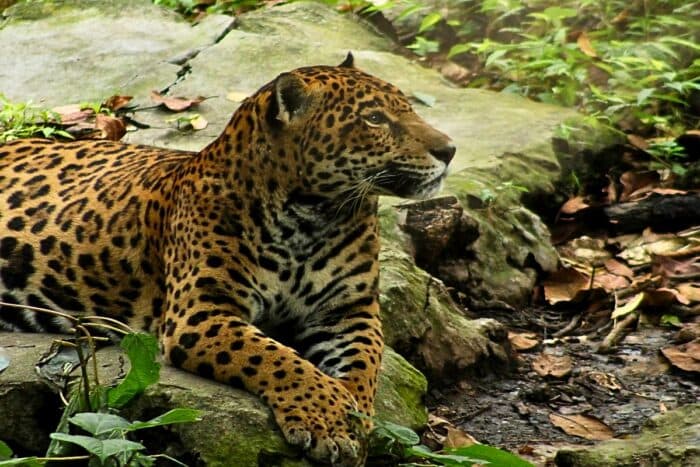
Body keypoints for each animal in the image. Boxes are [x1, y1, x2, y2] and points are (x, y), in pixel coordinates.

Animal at [0, 53, 454, 466]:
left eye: (408, 108)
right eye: (375, 118)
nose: (449, 149)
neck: (313, 216)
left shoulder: (349, 310)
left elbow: (364, 363)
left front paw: (353, 417)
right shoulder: (200, 312)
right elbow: (277, 358)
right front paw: (327, 416)